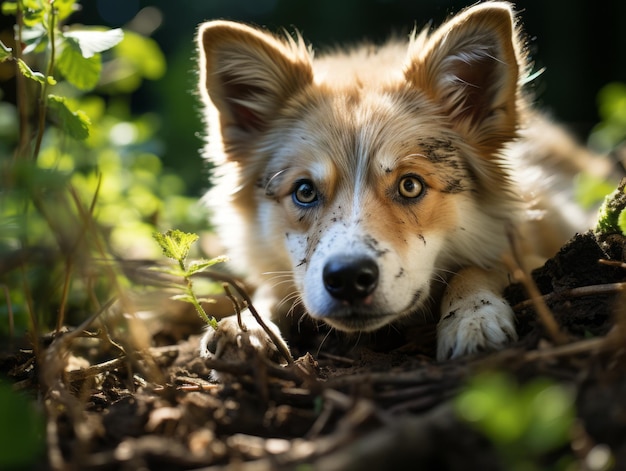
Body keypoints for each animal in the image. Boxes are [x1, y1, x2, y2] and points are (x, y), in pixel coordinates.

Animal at [194, 1, 604, 364]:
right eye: (305, 191)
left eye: (411, 185)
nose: (348, 278)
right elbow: (264, 292)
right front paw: (244, 327)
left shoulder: (541, 246)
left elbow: (479, 267)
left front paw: (473, 316)